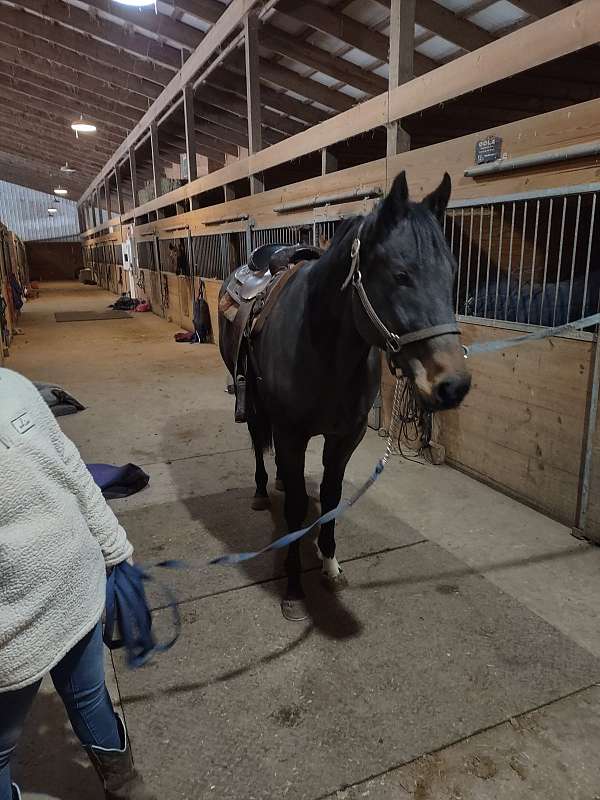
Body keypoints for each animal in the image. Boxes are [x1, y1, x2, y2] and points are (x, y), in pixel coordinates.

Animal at [219, 172, 471, 620]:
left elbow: (331, 498)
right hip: (254, 405)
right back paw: (263, 491)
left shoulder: (345, 436)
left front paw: (330, 564)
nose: (453, 384)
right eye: (400, 274)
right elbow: (296, 506)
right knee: (256, 444)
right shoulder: (291, 434)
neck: (322, 346)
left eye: (452, 273)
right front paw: (294, 589)